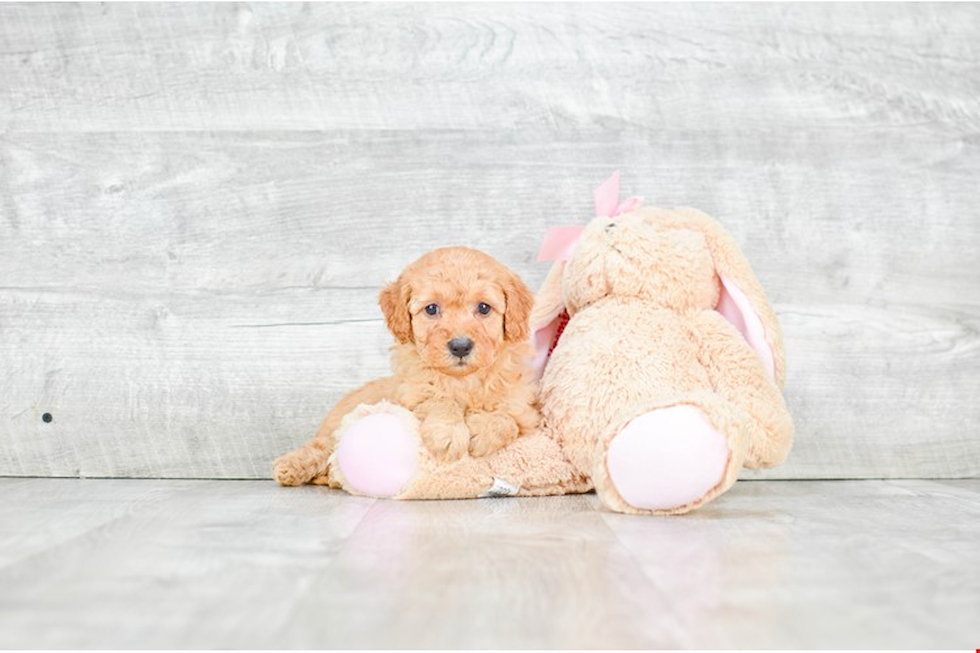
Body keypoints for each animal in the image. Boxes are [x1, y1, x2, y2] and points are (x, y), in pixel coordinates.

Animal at [272, 247, 540, 486]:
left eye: (484, 307)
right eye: (431, 309)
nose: (460, 346)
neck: (462, 379)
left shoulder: (524, 410)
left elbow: (508, 419)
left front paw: (483, 430)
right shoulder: (411, 394)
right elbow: (438, 399)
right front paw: (448, 434)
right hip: (334, 430)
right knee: (319, 448)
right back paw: (290, 467)